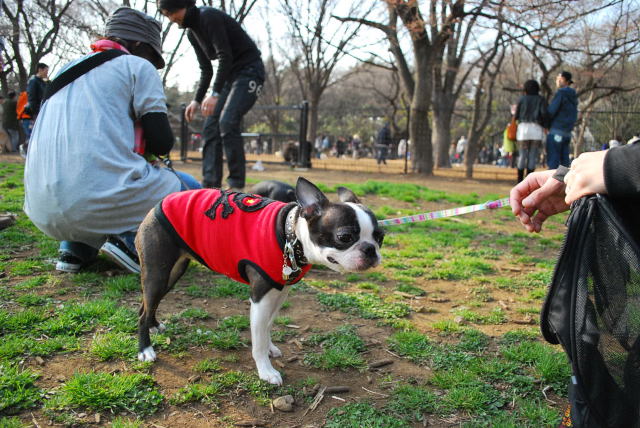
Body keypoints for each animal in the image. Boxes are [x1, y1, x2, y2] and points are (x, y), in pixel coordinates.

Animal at [136, 177, 384, 384]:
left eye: (380, 237)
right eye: (345, 237)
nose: (371, 250)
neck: (290, 235)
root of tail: (159, 203)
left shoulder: (278, 291)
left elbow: (267, 327)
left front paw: (270, 347)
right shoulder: (260, 296)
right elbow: (258, 339)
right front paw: (266, 370)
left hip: (173, 272)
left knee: (147, 306)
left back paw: (154, 325)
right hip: (158, 273)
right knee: (142, 312)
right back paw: (145, 349)